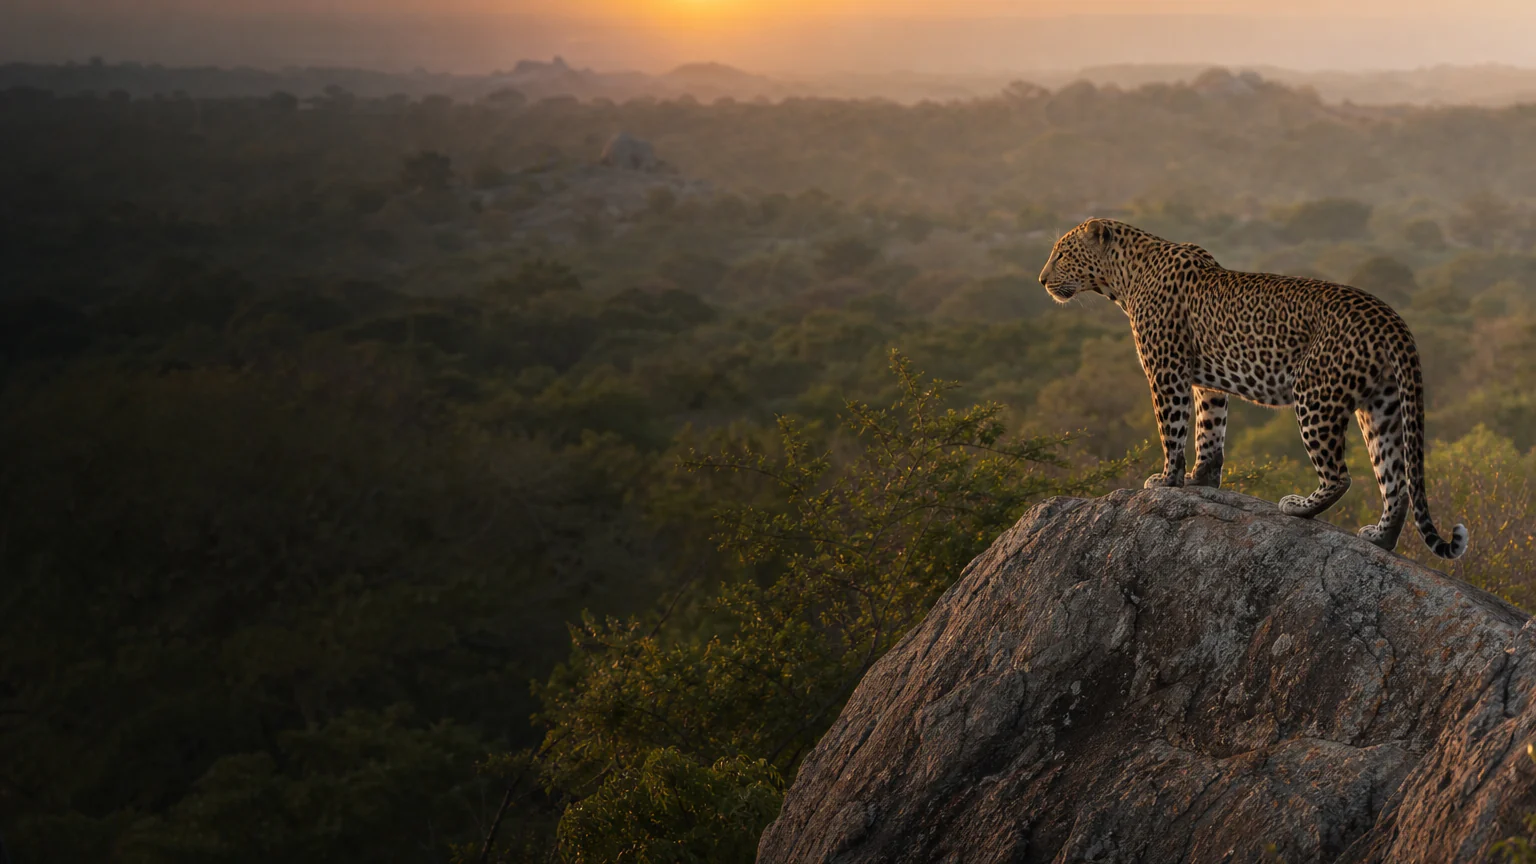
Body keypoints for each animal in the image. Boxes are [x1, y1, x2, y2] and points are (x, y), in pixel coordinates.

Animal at [1038, 217, 1467, 559]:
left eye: (1061, 253)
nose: (1041, 280)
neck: (1124, 277)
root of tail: (1391, 319)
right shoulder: (1205, 385)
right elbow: (1209, 431)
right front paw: (1201, 479)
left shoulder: (1166, 370)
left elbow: (1172, 428)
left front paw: (1167, 480)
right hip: (1381, 407)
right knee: (1395, 479)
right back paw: (1379, 538)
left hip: (1315, 396)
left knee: (1340, 476)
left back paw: (1298, 507)